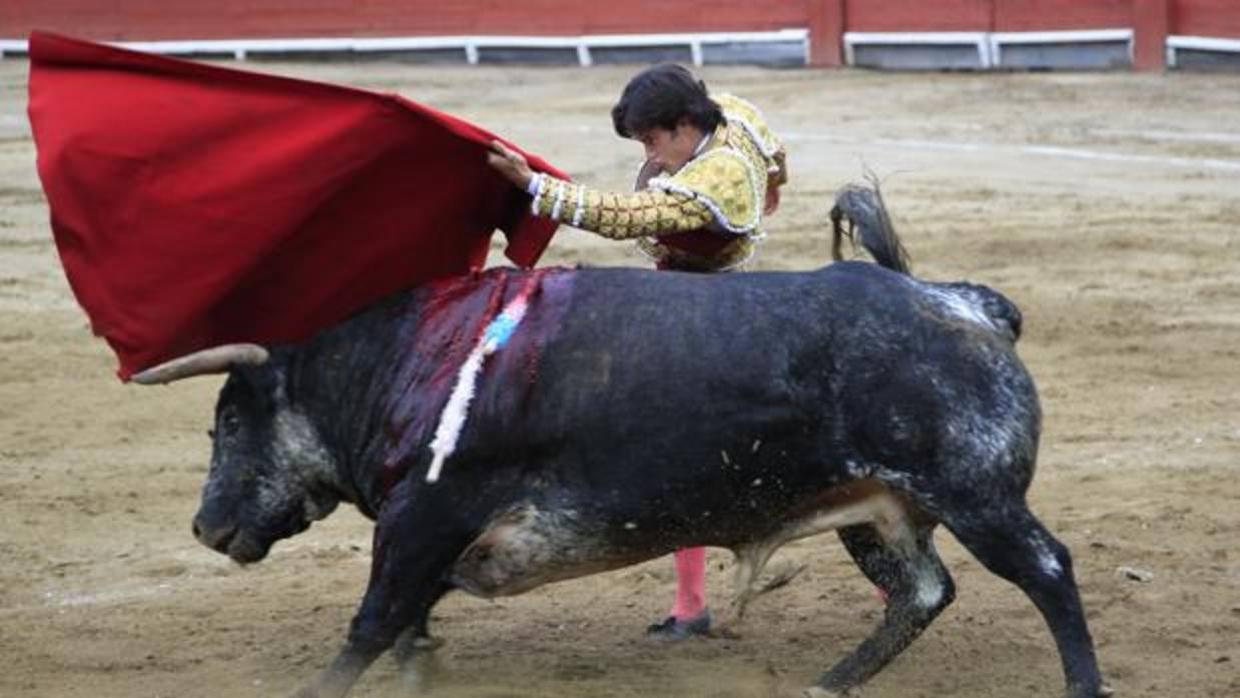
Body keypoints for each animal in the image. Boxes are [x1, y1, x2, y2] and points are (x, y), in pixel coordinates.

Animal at [135, 187, 1106, 698]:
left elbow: (373, 619)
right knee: (923, 591)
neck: (406, 358)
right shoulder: (437, 536)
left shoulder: (424, 516)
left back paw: (1081, 686)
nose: (204, 526)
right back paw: (829, 683)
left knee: (1046, 570)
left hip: (975, 495)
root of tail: (964, 303)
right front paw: (422, 666)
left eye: (230, 421)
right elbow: (408, 618)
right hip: (879, 509)